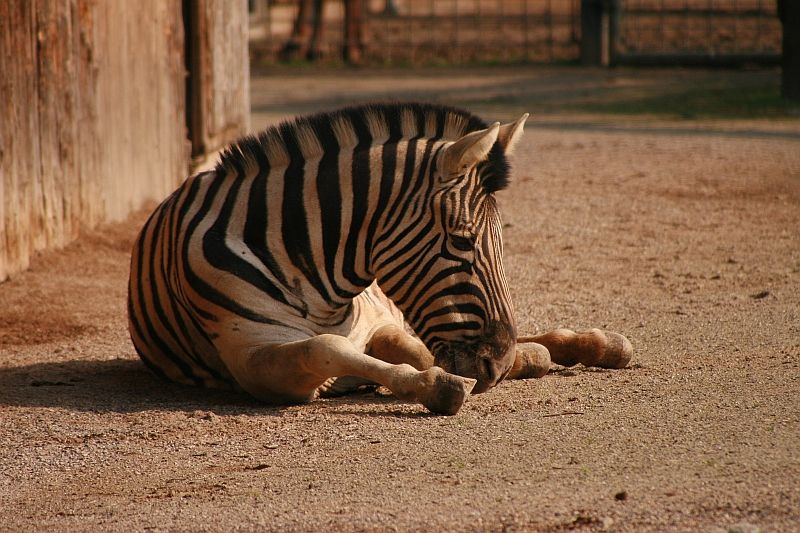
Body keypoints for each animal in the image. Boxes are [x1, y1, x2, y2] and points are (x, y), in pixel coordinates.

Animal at [128, 103, 632, 415]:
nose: (498, 363)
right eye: (462, 241)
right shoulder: (248, 359)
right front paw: (438, 386)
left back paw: (590, 344)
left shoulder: (377, 322)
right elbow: (328, 348)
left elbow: (414, 350)